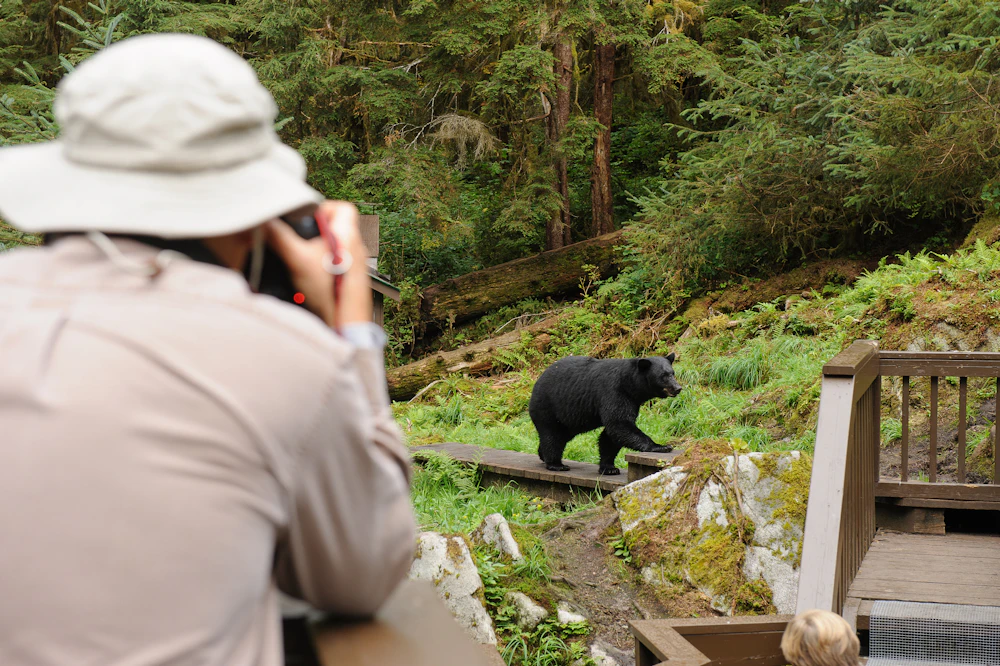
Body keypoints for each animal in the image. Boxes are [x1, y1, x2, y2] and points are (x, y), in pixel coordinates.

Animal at [528, 354, 682, 475]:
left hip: (568, 420)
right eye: (663, 376)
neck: (630, 384)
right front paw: (661, 446)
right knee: (552, 436)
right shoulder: (614, 392)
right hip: (549, 407)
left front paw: (609, 468)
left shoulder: (631, 400)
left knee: (560, 436)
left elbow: (610, 435)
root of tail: (537, 383)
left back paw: (543, 455)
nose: (678, 388)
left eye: (672, 373)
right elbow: (619, 424)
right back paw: (556, 464)